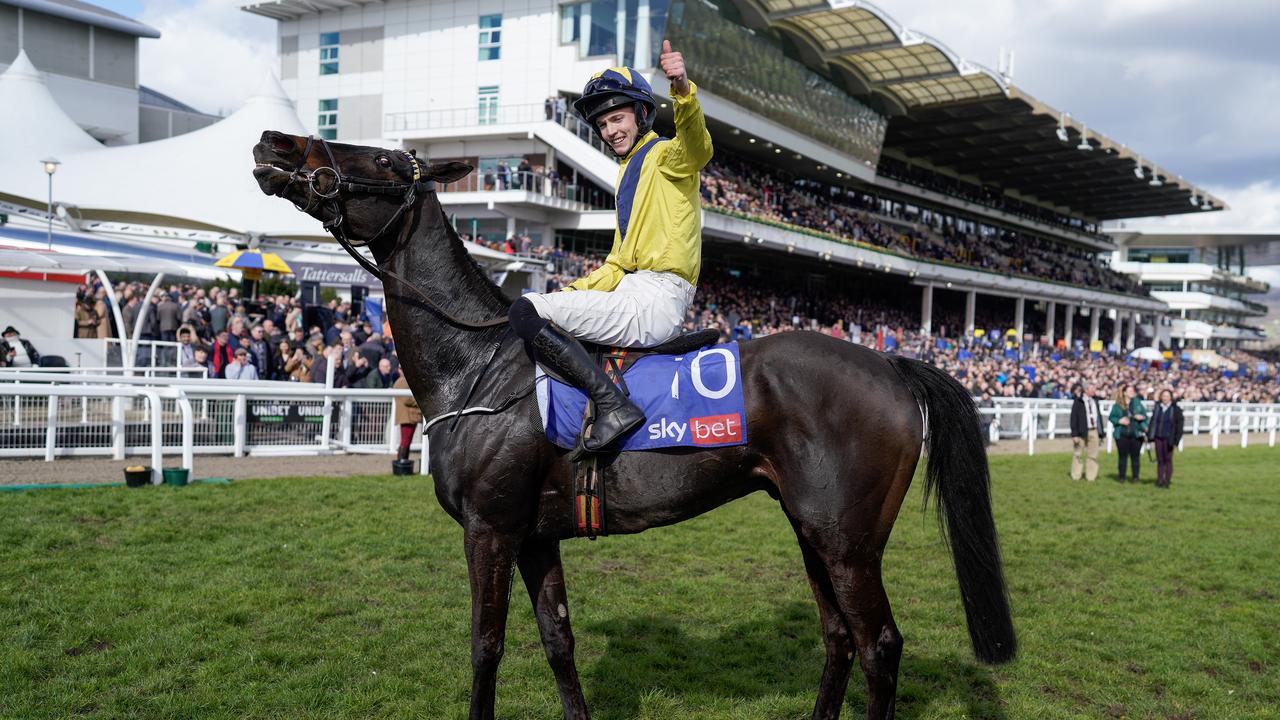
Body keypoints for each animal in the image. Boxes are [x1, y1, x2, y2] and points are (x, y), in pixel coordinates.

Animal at [252, 133, 1018, 717]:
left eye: (383, 159)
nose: (273, 143)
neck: (479, 363)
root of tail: (893, 364)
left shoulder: (490, 528)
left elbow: (486, 645)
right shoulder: (534, 535)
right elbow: (557, 640)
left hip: (847, 542)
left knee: (879, 644)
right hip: (813, 529)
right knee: (839, 637)